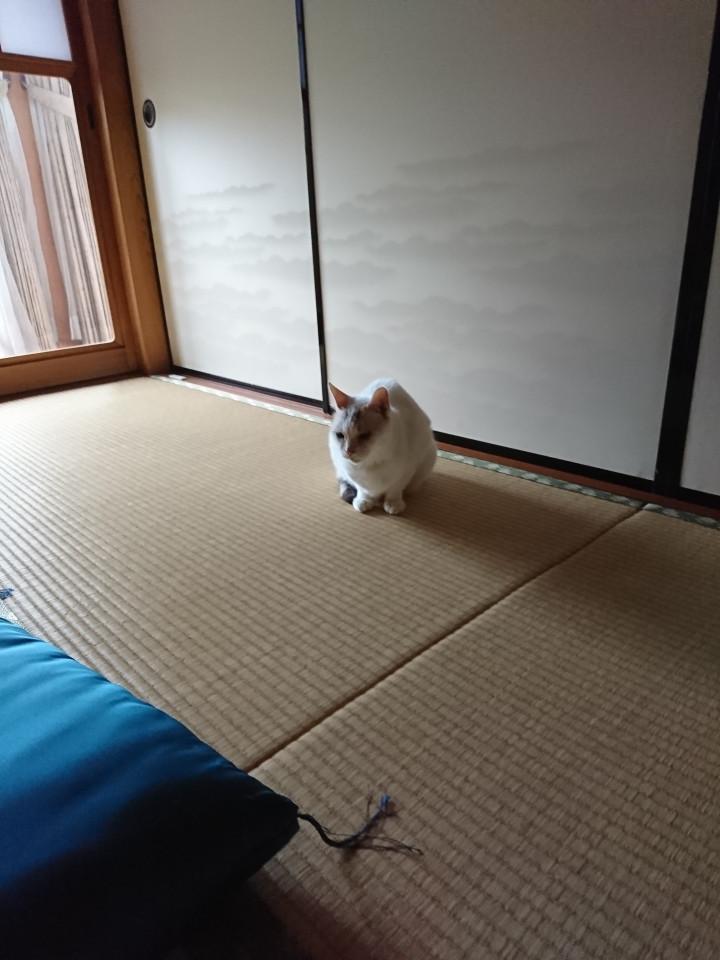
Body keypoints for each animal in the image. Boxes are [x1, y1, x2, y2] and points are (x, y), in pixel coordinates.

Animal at [328, 378, 437, 515]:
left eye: (365, 435)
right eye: (340, 435)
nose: (348, 451)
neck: (369, 464)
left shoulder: (405, 473)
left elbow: (395, 490)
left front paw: (392, 504)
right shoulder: (354, 476)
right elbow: (363, 490)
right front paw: (364, 501)